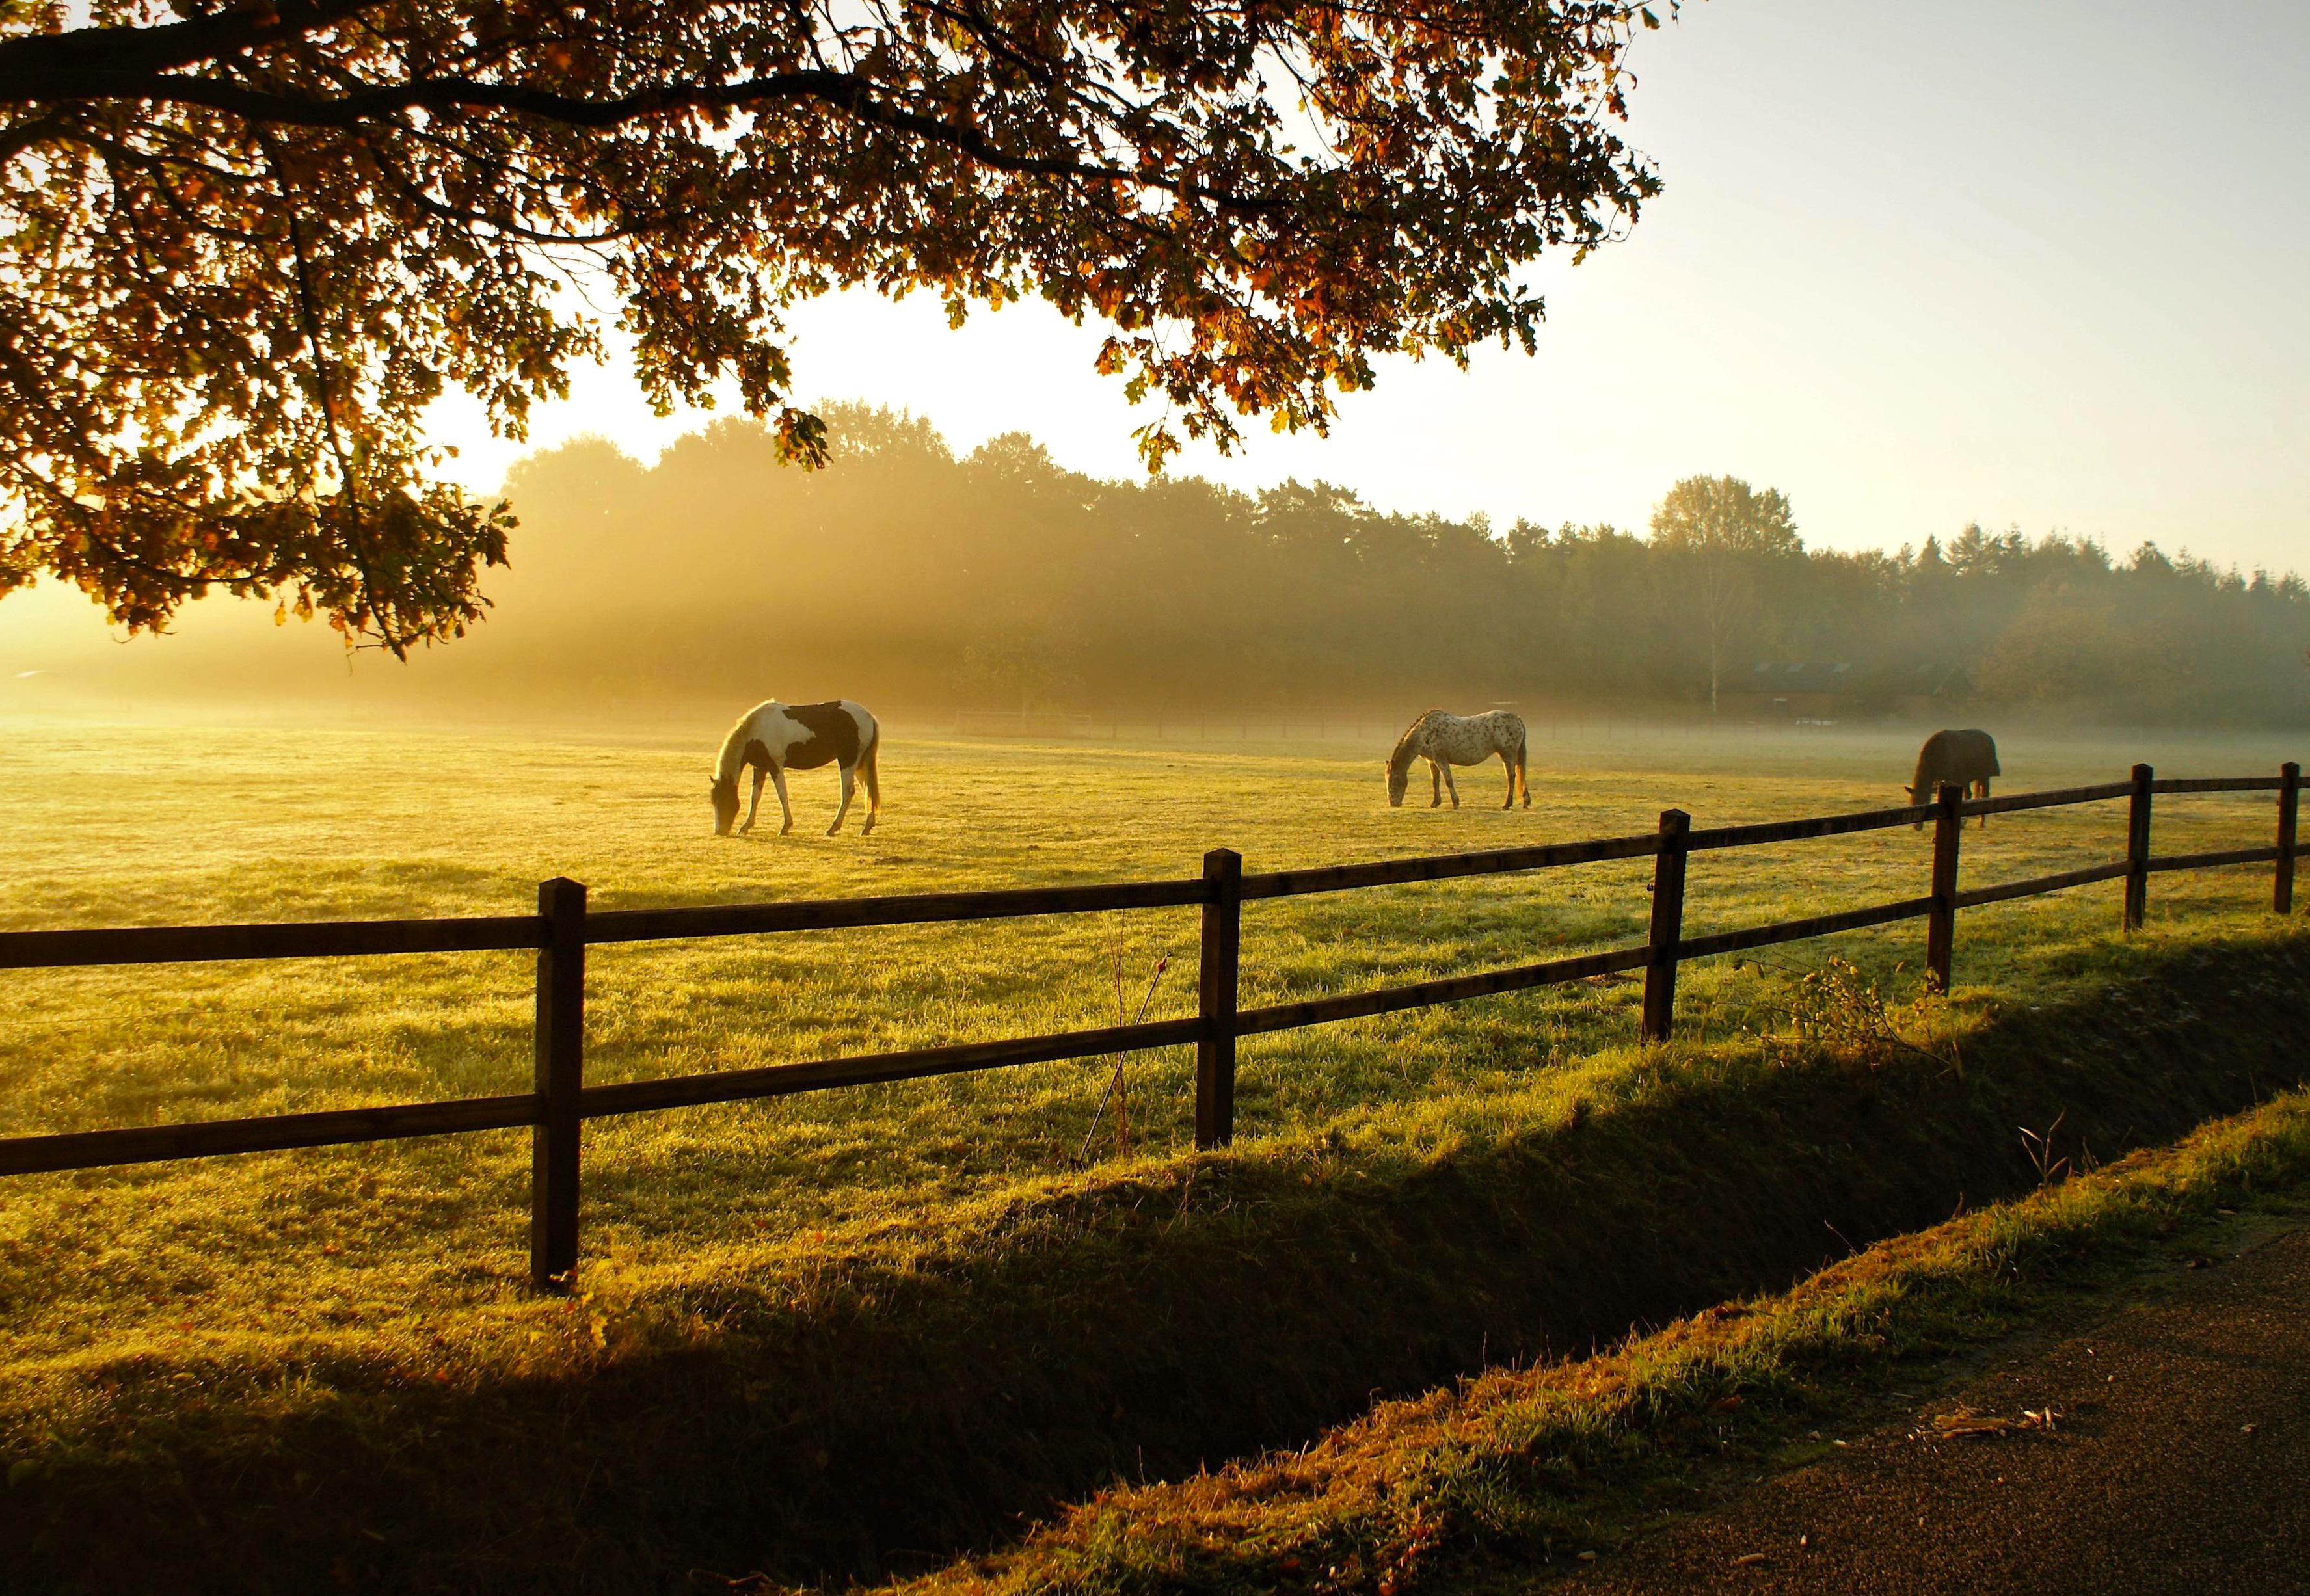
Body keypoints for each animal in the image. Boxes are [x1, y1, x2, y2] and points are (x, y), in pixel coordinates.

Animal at [711, 700, 881, 837]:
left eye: (722, 800)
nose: (719, 831)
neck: (757, 730)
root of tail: (869, 717)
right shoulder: (760, 768)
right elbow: (755, 796)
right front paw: (746, 826)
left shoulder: (775, 766)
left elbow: (782, 795)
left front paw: (785, 827)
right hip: (860, 764)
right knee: (868, 790)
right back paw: (867, 827)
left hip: (848, 762)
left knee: (848, 792)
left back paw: (833, 828)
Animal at [1386, 709, 1529, 810]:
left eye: (1393, 780)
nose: (1393, 803)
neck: (1424, 733)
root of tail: (1517, 719)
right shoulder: (1432, 762)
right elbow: (1435, 782)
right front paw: (1435, 803)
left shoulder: (1441, 760)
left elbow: (1448, 781)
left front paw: (1455, 803)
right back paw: (1525, 801)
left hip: (1507, 755)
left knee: (1511, 777)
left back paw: (1507, 804)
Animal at [1907, 728, 1999, 829]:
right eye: (1913, 801)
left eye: (1925, 802)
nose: (1917, 827)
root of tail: (1988, 737)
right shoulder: (1940, 781)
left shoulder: (1953, 779)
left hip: (1984, 776)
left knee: (1982, 795)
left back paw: (1979, 822)